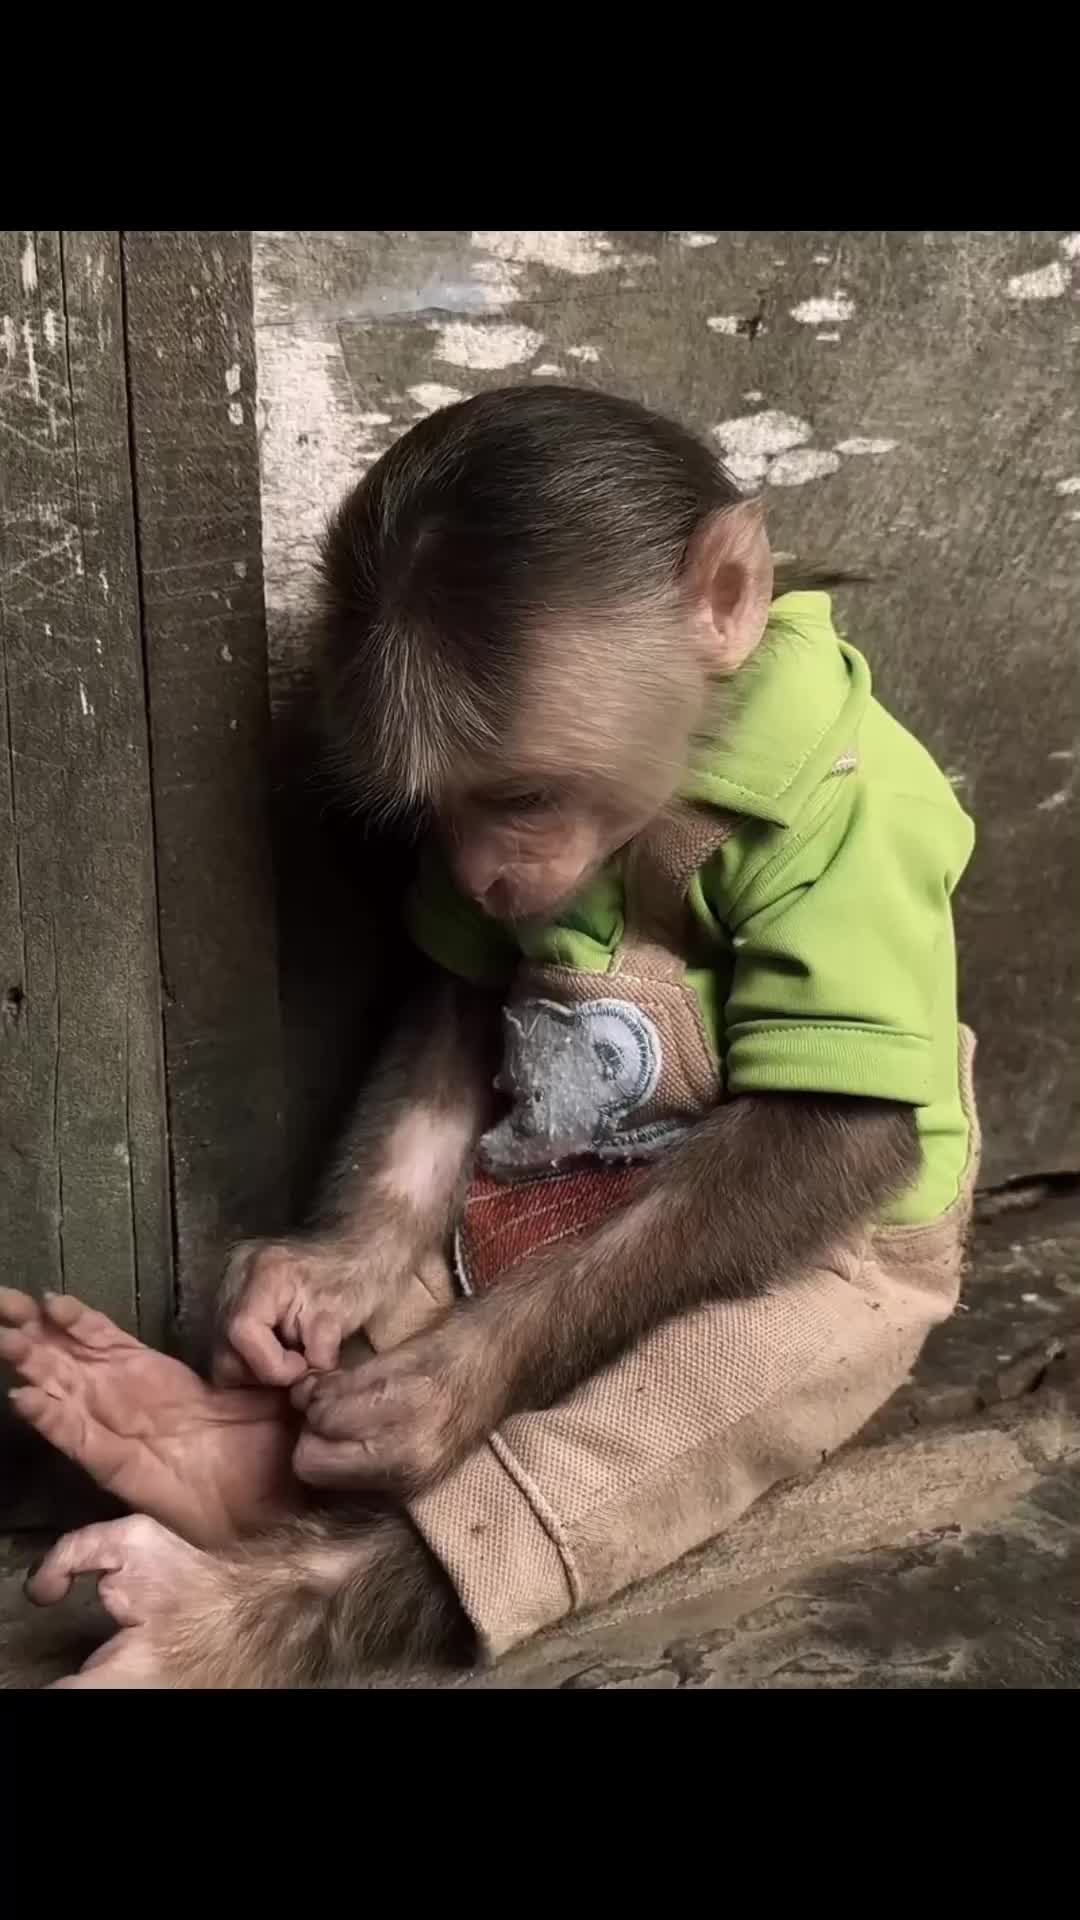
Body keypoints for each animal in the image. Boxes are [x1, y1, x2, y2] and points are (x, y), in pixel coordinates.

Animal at [1, 385, 976, 1687]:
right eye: (438, 810)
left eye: (522, 797)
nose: (483, 873)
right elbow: (455, 1003)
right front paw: (316, 1279)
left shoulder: (861, 832)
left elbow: (838, 1127)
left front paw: (444, 1388)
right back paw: (186, 1436)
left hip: (853, 1309)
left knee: (658, 1421)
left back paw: (214, 1607)